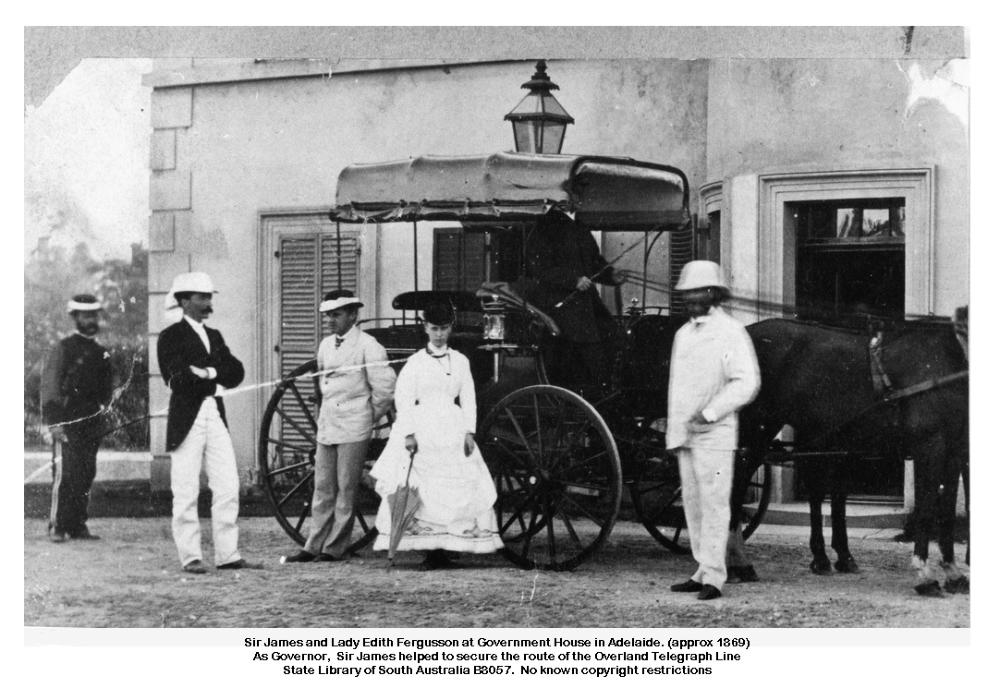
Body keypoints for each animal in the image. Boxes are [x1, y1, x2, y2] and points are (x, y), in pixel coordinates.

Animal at [735, 314, 968, 596]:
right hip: (756, 430)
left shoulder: (955, 449)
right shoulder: (930, 445)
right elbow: (927, 507)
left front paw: (954, 573)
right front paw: (925, 575)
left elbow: (946, 510)